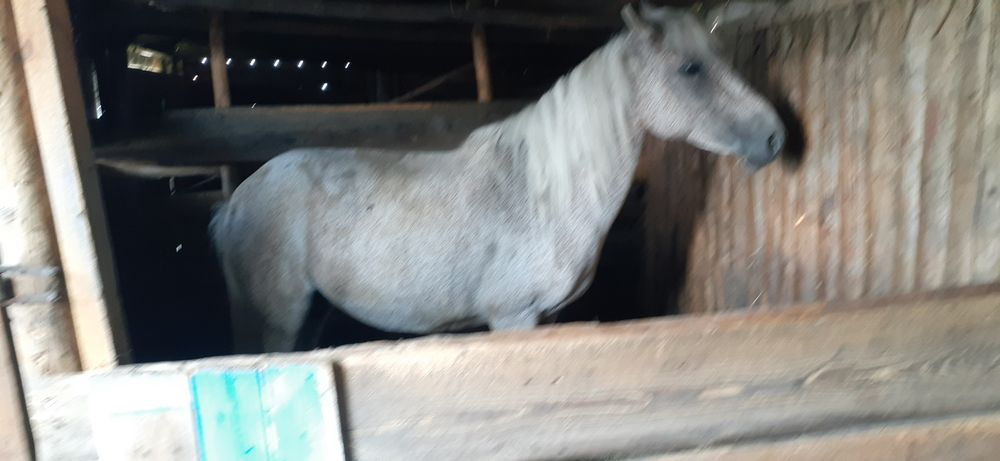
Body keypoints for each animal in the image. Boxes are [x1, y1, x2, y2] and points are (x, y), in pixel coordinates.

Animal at [210, 3, 787, 353]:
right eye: (691, 68)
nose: (774, 136)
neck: (541, 194)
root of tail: (236, 201)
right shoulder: (513, 318)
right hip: (277, 321)